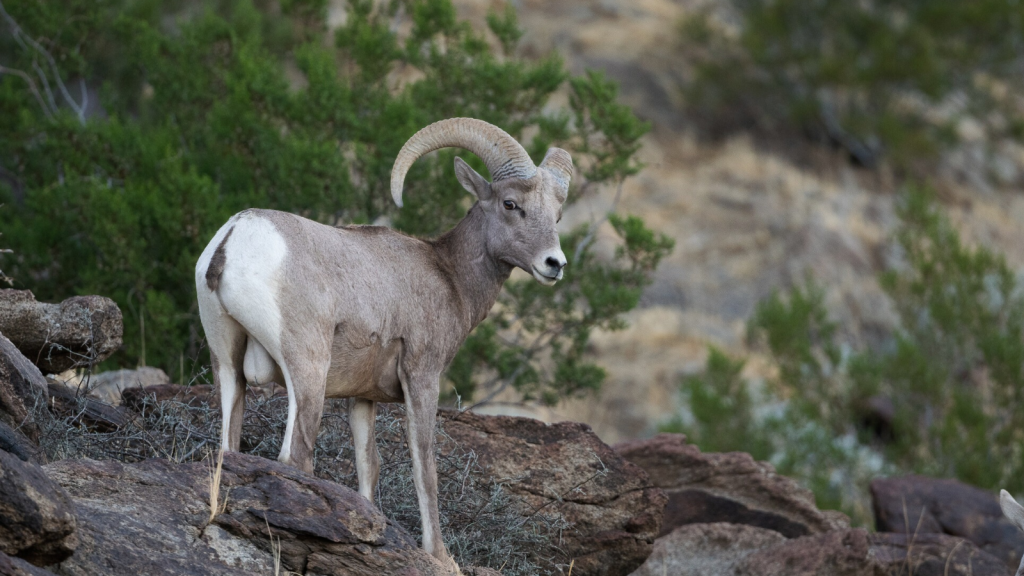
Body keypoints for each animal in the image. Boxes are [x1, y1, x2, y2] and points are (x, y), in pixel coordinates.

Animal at [195, 116, 573, 565]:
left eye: (557, 215)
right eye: (510, 204)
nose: (554, 264)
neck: (449, 275)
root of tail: (233, 240)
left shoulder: (363, 398)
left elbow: (368, 465)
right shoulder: (421, 377)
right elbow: (424, 466)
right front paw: (439, 555)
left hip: (226, 363)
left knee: (228, 443)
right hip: (307, 370)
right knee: (295, 454)